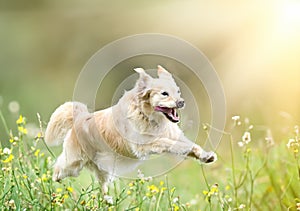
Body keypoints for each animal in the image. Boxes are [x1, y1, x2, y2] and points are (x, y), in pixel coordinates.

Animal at [44, 65, 217, 193]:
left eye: (178, 91)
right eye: (164, 94)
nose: (181, 102)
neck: (150, 118)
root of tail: (80, 118)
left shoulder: (171, 135)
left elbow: (191, 146)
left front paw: (205, 156)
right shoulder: (144, 145)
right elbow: (172, 144)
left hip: (102, 168)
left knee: (103, 186)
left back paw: (108, 201)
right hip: (73, 163)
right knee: (59, 167)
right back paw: (53, 179)